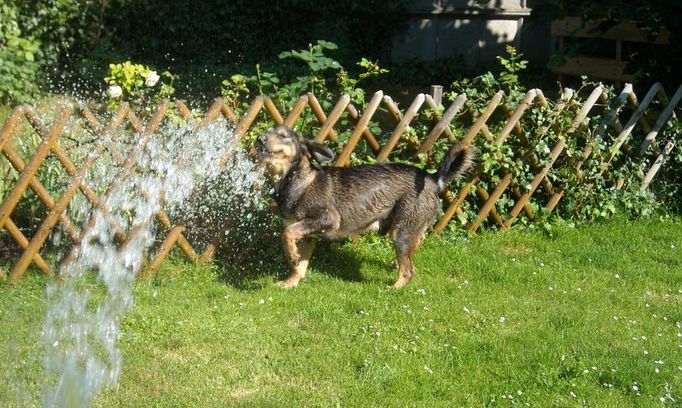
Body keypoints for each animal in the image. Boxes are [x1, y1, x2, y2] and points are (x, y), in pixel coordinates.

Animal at [255, 126, 472, 288]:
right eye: (267, 131)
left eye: (282, 136)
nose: (259, 138)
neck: (295, 180)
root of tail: (433, 179)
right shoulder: (309, 235)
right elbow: (300, 265)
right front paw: (290, 282)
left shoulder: (327, 220)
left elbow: (286, 233)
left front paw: (291, 255)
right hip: (405, 227)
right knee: (417, 242)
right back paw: (395, 263)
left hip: (400, 233)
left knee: (410, 271)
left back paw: (394, 288)